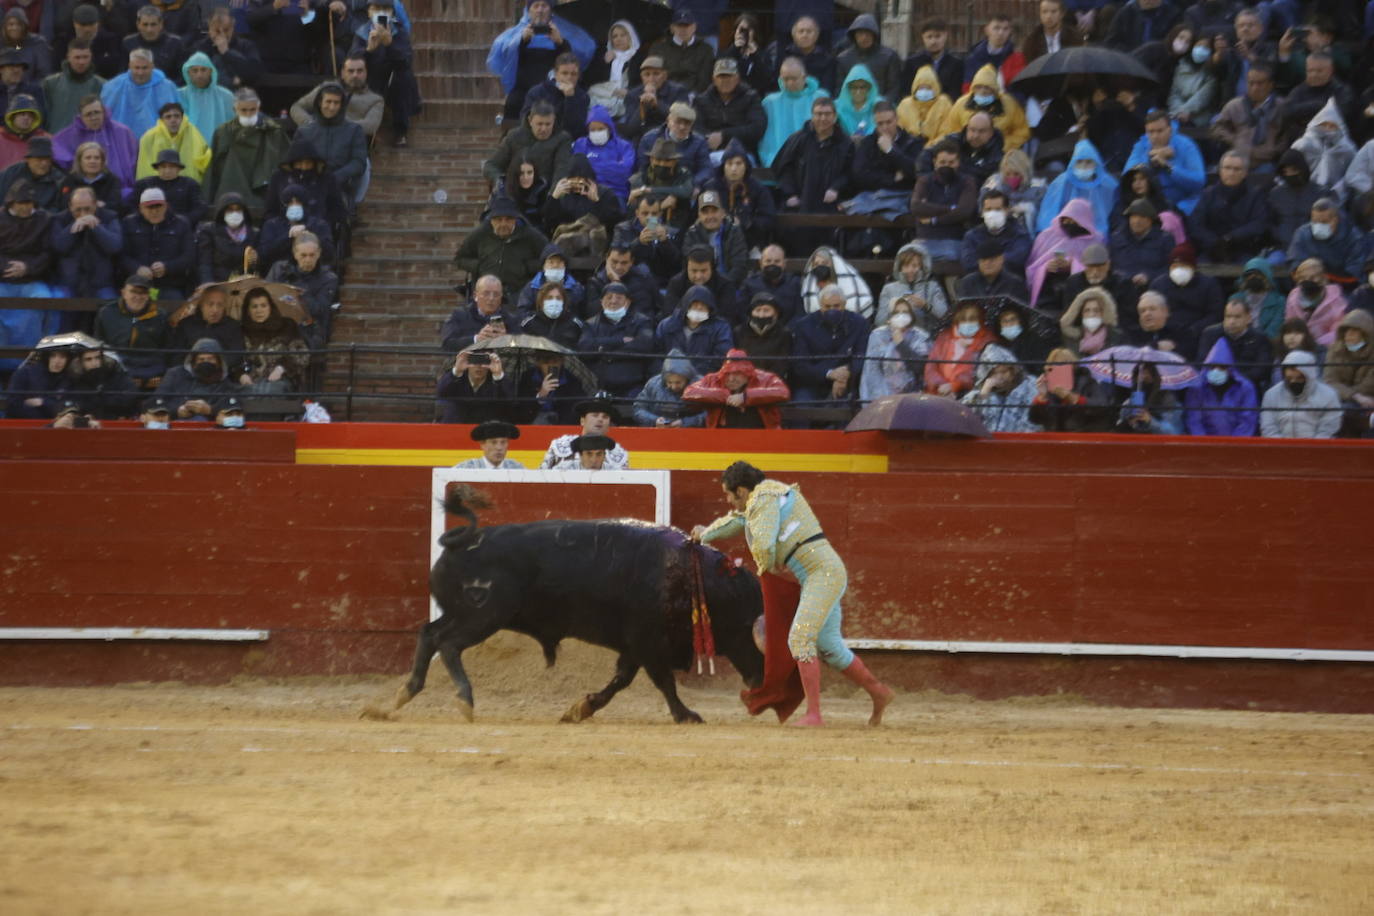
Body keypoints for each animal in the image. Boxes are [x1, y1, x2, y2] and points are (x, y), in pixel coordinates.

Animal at [381, 491, 769, 725]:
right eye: (746, 626)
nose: (759, 678)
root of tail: (463, 541)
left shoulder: (636, 646)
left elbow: (622, 679)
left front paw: (581, 708)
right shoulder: (648, 643)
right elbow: (662, 682)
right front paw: (686, 714)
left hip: (464, 614)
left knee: (429, 634)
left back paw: (403, 695)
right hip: (483, 616)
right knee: (448, 644)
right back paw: (464, 700)